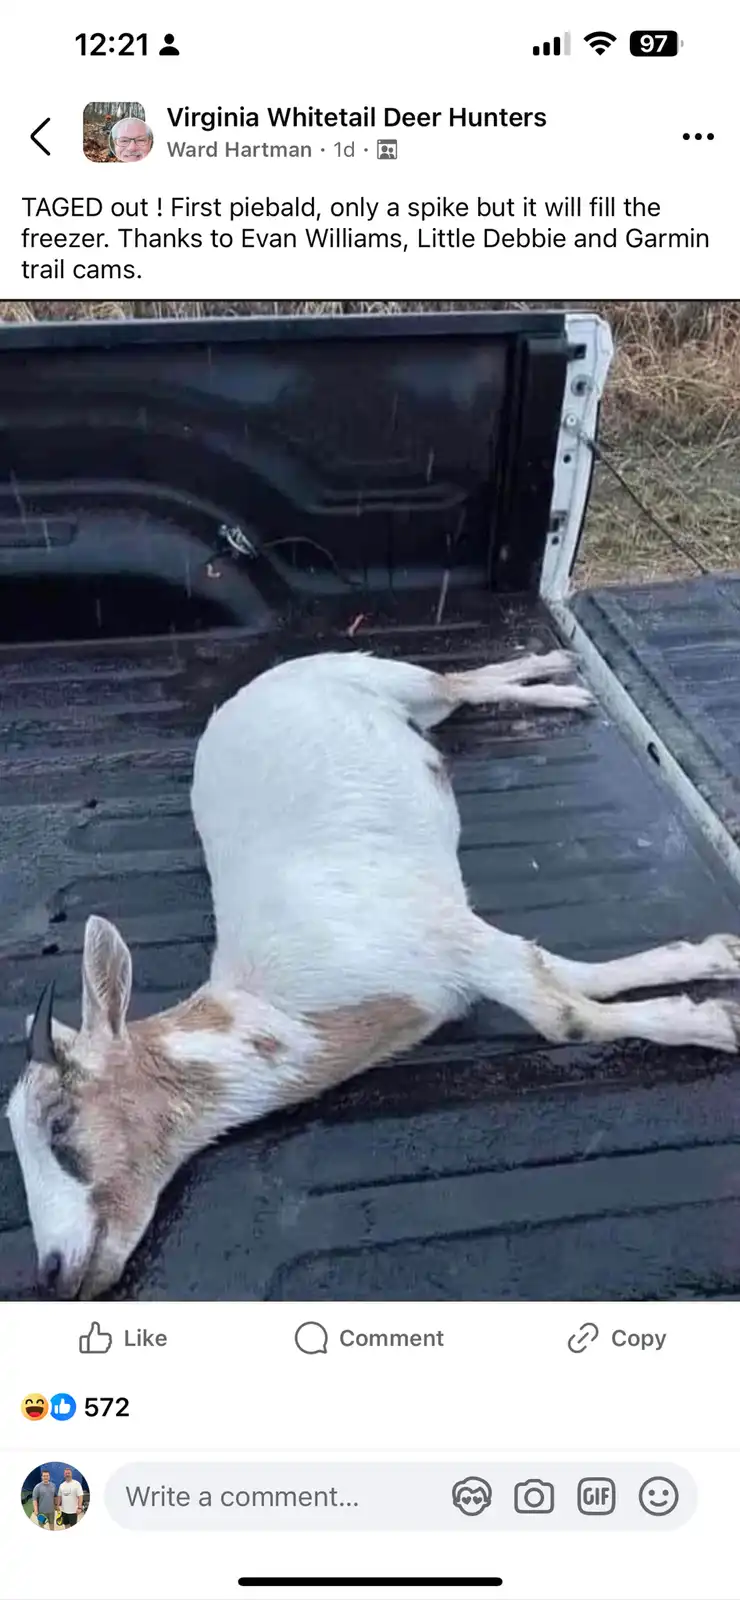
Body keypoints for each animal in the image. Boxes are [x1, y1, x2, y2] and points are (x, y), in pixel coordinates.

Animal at [7, 647, 740, 1300]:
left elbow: (563, 1016)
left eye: (60, 1124)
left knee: (454, 681)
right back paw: (560, 676)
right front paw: (717, 962)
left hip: (386, 675)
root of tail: (258, 684)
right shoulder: (468, 945)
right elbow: (575, 978)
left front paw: (715, 1022)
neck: (283, 1006)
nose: (53, 1273)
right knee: (462, 688)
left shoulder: (449, 938)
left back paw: (562, 681)